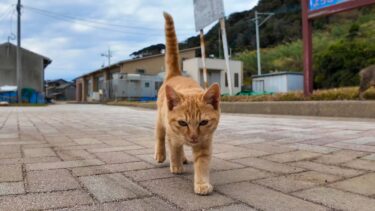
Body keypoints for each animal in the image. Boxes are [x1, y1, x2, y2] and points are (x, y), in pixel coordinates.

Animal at [154, 12, 222, 195]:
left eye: (203, 122)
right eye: (182, 122)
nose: (193, 137)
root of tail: (176, 74)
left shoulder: (205, 142)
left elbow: (202, 163)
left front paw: (202, 183)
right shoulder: (173, 133)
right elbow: (174, 149)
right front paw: (176, 165)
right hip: (160, 120)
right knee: (160, 136)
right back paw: (162, 155)